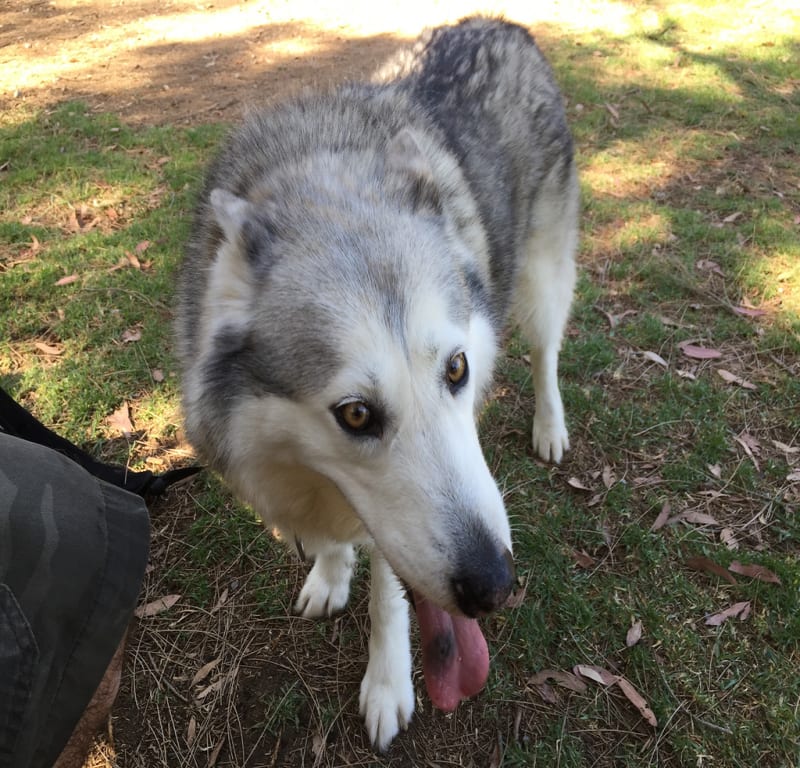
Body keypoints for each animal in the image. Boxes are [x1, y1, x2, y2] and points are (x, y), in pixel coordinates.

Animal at [175, 16, 577, 751]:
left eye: (456, 369)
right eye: (356, 415)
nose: (495, 586)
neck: (323, 180)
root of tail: (499, 23)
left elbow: (390, 599)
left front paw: (388, 686)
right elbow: (338, 548)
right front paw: (330, 575)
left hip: (542, 280)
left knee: (547, 353)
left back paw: (550, 427)